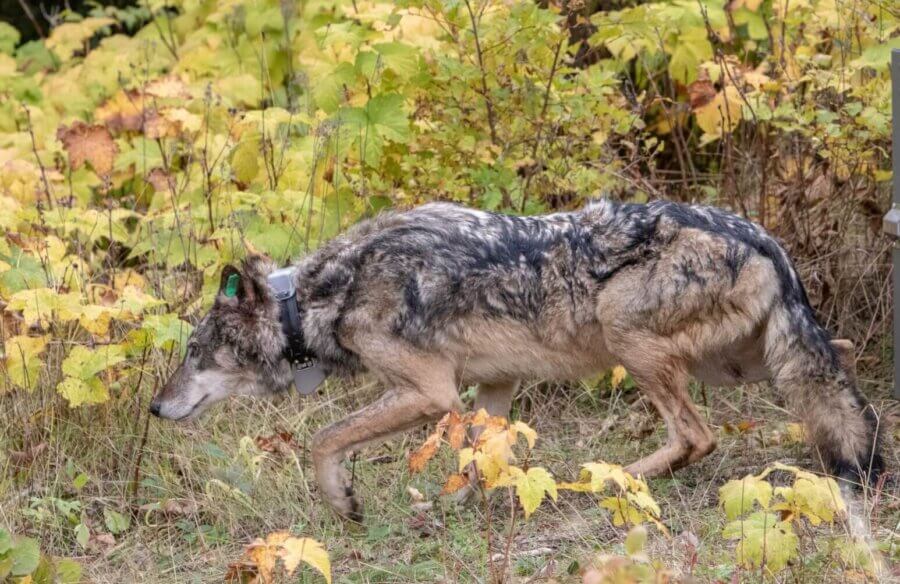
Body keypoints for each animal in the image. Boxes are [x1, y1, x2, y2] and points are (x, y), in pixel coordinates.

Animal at [148, 201, 880, 520]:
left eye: (195, 353)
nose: (155, 408)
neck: (321, 297)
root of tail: (764, 239)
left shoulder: (432, 392)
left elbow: (324, 440)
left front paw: (343, 500)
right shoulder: (491, 386)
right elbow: (479, 454)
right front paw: (459, 501)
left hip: (631, 337)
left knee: (696, 436)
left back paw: (608, 479)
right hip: (750, 363)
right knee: (839, 374)